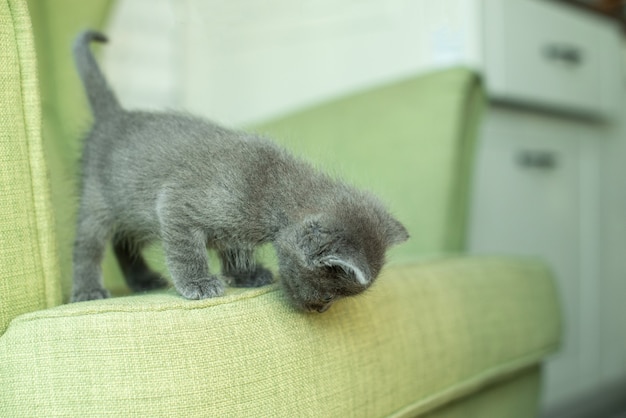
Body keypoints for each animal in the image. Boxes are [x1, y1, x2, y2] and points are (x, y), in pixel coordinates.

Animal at [70, 31, 408, 312]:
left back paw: (142, 280)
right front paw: (198, 282)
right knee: (88, 246)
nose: (320, 310)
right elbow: (186, 250)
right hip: (98, 203)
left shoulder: (234, 226)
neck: (274, 189)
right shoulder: (176, 203)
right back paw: (88, 289)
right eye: (330, 291)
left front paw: (246, 273)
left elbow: (233, 246)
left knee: (122, 242)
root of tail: (115, 116)